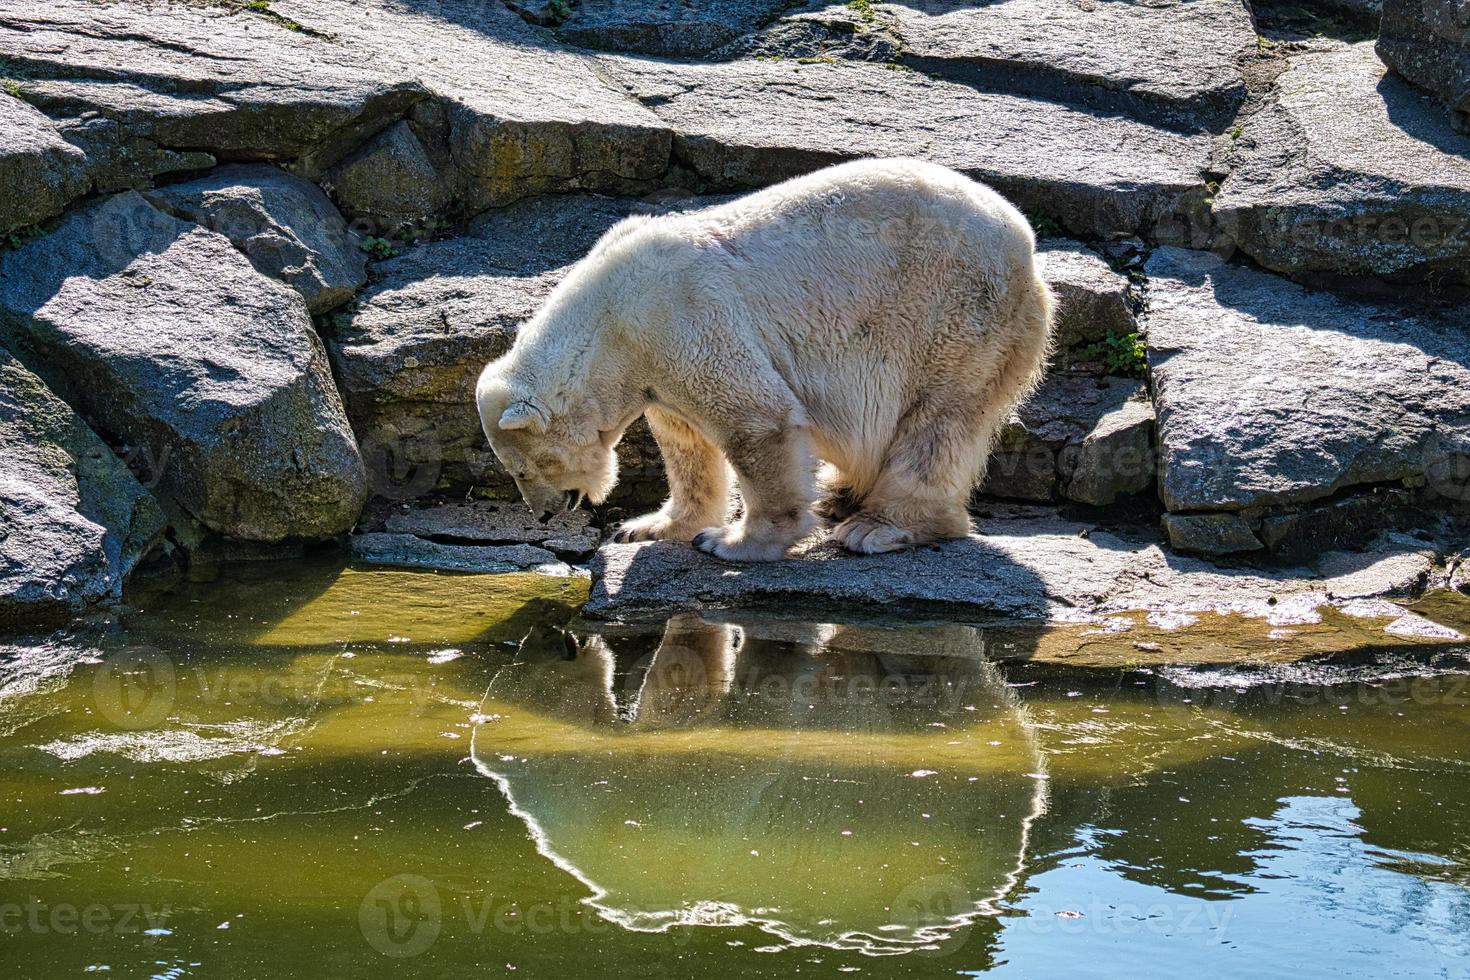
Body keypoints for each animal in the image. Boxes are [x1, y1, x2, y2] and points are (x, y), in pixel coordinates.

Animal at [479, 157, 1058, 564]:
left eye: (526, 468)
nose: (544, 514)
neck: (609, 314)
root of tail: (1027, 248)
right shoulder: (652, 362)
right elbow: (683, 439)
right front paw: (649, 525)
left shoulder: (681, 314)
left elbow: (758, 421)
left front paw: (731, 542)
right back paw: (841, 494)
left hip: (953, 315)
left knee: (938, 422)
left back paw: (877, 525)